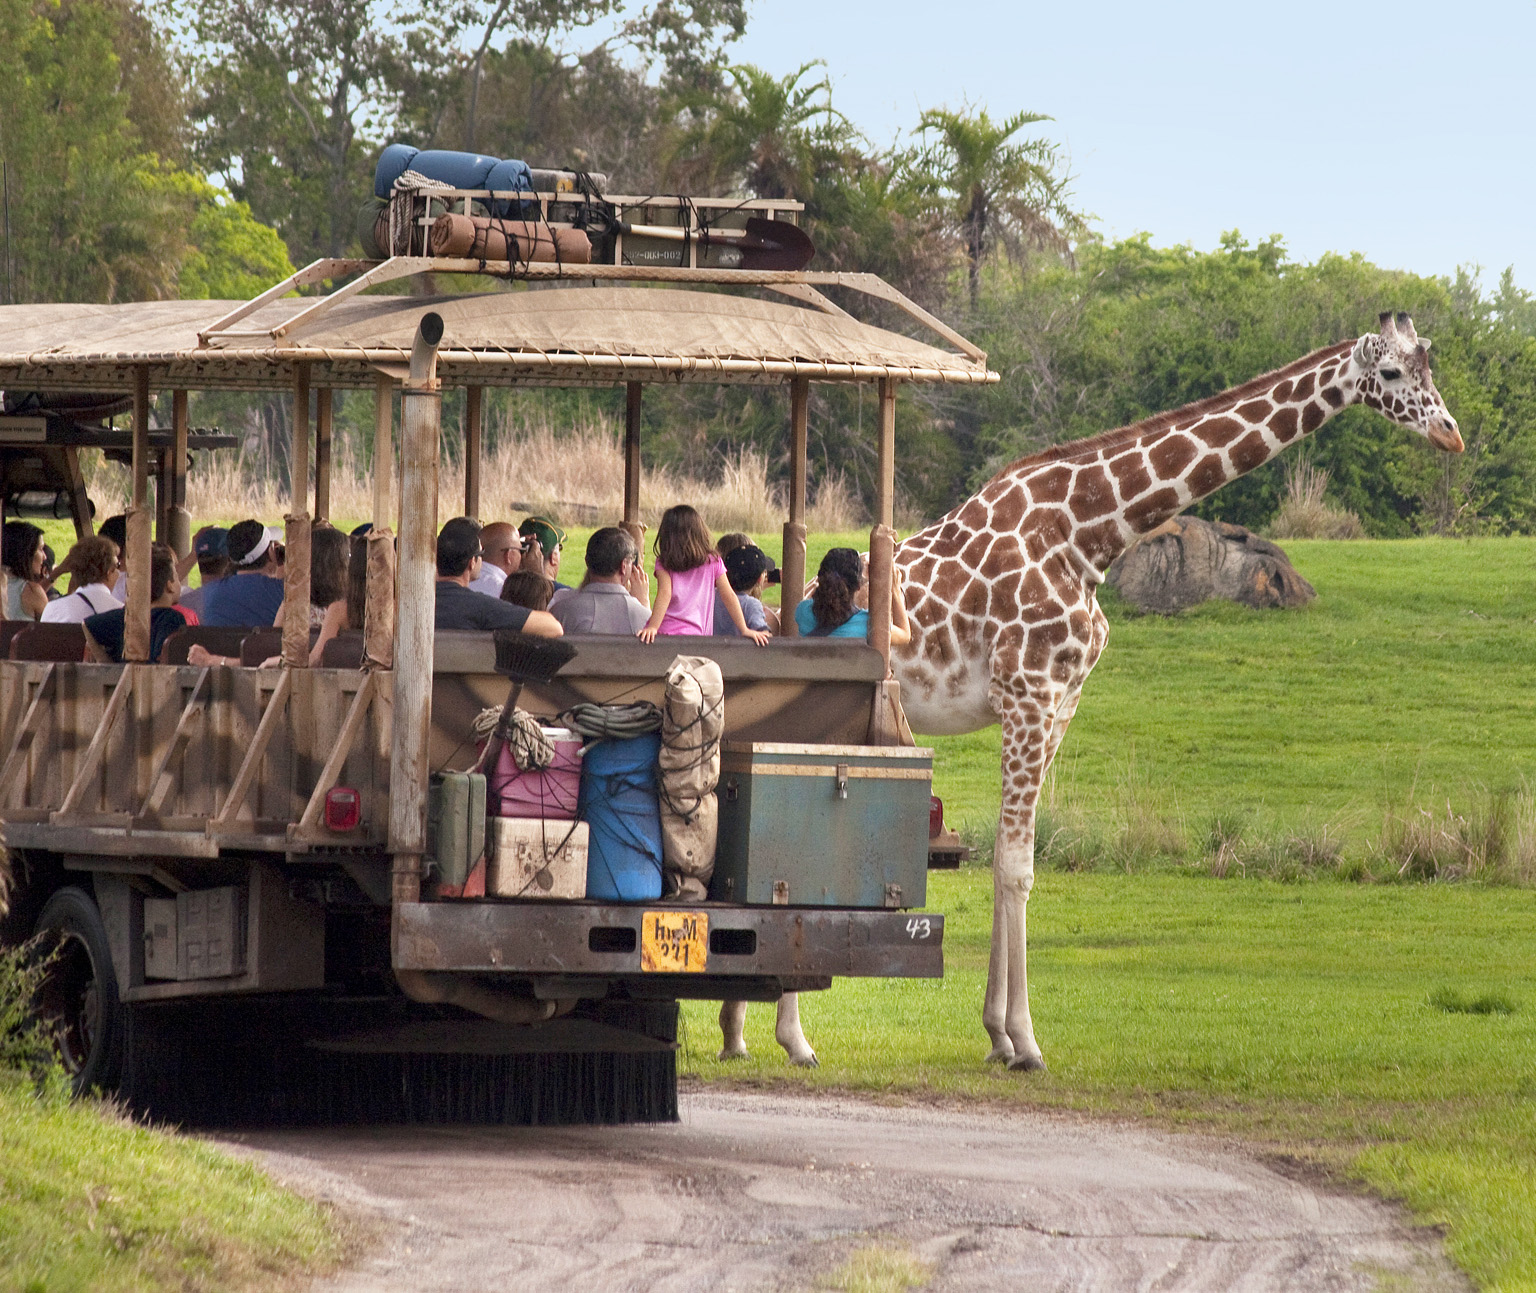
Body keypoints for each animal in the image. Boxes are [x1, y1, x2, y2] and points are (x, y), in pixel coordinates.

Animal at [884, 311, 1456, 1068]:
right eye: (1391, 373)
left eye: (1429, 367)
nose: (1450, 433)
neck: (1089, 531)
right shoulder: (1028, 695)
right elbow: (1015, 867)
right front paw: (1024, 1039)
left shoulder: (1059, 703)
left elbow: (1013, 859)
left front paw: (1000, 1037)